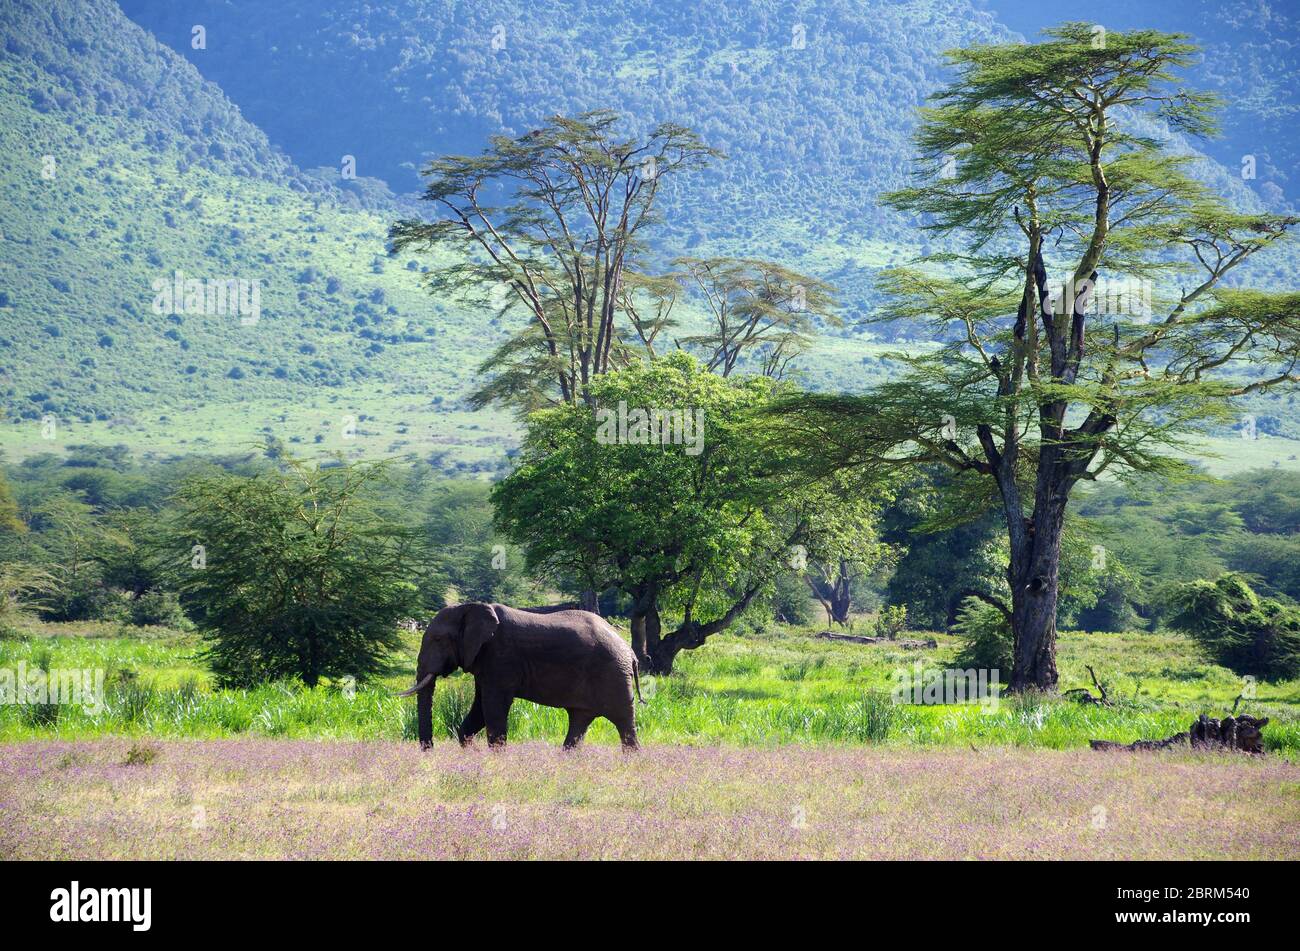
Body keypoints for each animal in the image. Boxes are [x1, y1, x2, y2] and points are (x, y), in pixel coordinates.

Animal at [395, 602, 639, 748]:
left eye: (438, 639)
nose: (429, 750)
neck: (470, 607)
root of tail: (630, 652)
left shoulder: (501, 657)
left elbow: (493, 706)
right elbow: (480, 707)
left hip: (613, 674)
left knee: (624, 722)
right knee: (579, 721)